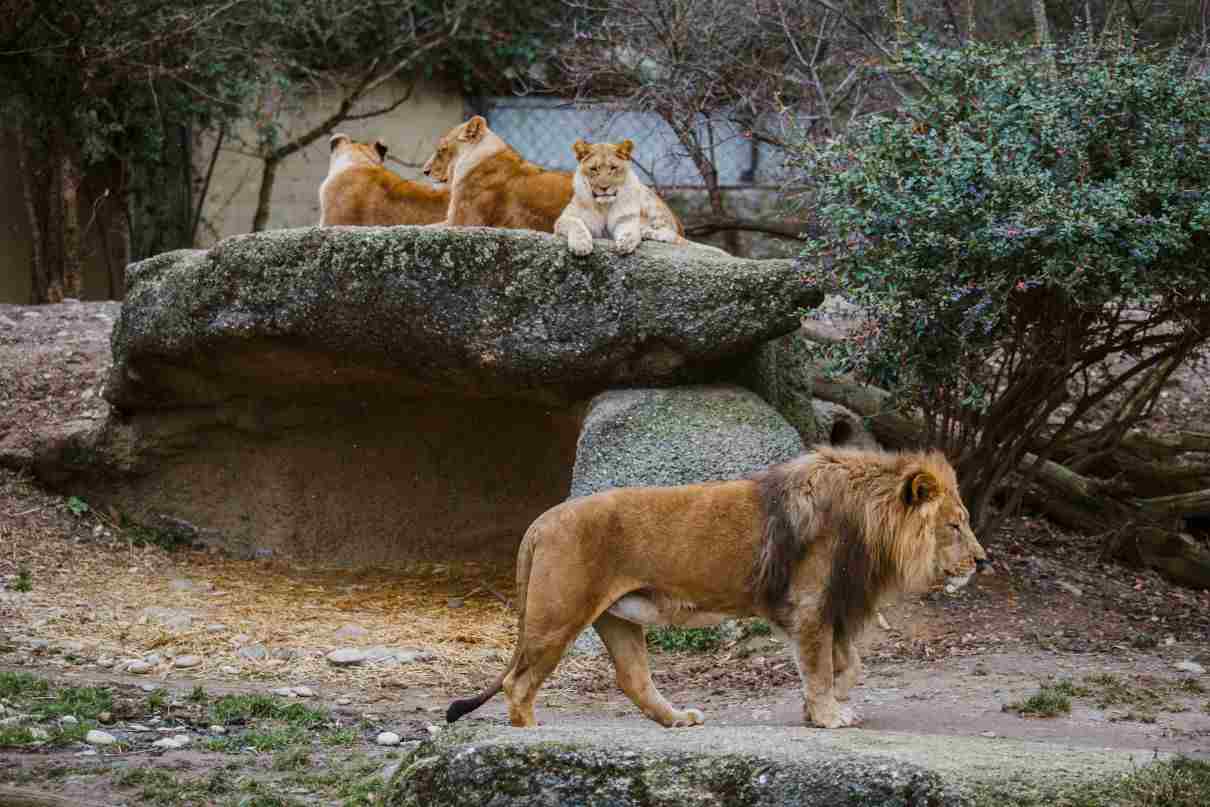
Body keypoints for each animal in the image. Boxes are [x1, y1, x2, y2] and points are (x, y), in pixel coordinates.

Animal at [447, 446, 987, 730]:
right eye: (955, 525)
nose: (983, 561)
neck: (869, 521)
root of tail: (540, 522)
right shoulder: (809, 606)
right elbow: (819, 668)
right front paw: (827, 715)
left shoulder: (826, 609)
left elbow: (847, 664)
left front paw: (822, 708)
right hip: (557, 616)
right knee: (518, 683)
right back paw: (531, 733)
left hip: (616, 617)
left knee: (633, 678)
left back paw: (677, 719)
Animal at [555, 139, 726, 256]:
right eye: (594, 169)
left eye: (613, 168)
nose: (604, 188)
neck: (604, 206)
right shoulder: (563, 220)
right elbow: (575, 224)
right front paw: (581, 245)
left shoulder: (626, 219)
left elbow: (630, 229)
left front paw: (626, 242)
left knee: (674, 236)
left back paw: (648, 232)